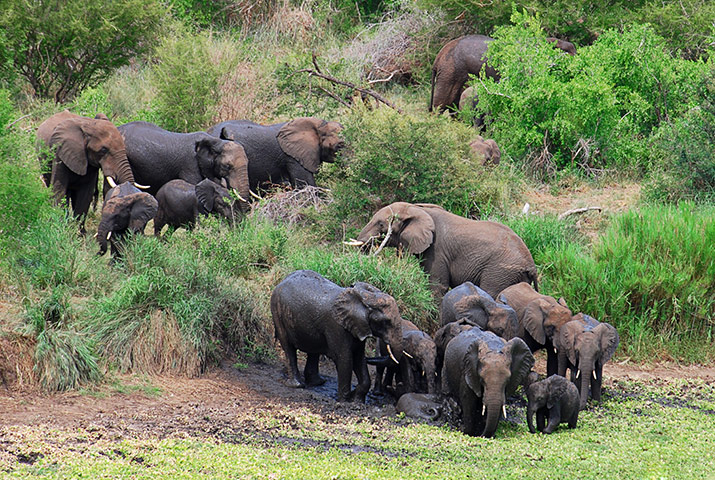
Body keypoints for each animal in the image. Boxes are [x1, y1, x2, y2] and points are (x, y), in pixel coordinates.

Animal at [270, 270, 403, 403]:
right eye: (385, 322)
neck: (362, 299)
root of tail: (281, 281)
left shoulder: (358, 327)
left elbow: (359, 358)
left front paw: (357, 400)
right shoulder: (337, 327)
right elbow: (345, 358)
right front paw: (344, 401)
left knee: (313, 350)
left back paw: (317, 383)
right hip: (277, 311)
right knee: (288, 347)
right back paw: (297, 385)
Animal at [355, 202, 538, 299]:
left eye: (381, 224)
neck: (417, 208)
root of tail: (531, 265)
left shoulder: (437, 251)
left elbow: (437, 287)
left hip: (500, 271)